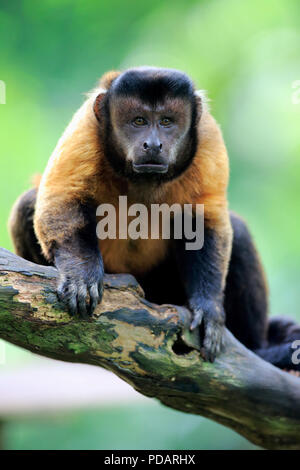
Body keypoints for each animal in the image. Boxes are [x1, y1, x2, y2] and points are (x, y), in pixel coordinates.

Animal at [8, 66, 300, 368]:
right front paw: (81, 273)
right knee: (26, 204)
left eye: (167, 122)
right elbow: (61, 199)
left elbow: (205, 221)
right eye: (138, 121)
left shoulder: (208, 134)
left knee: (238, 232)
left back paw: (260, 350)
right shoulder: (86, 126)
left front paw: (208, 307)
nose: (153, 144)